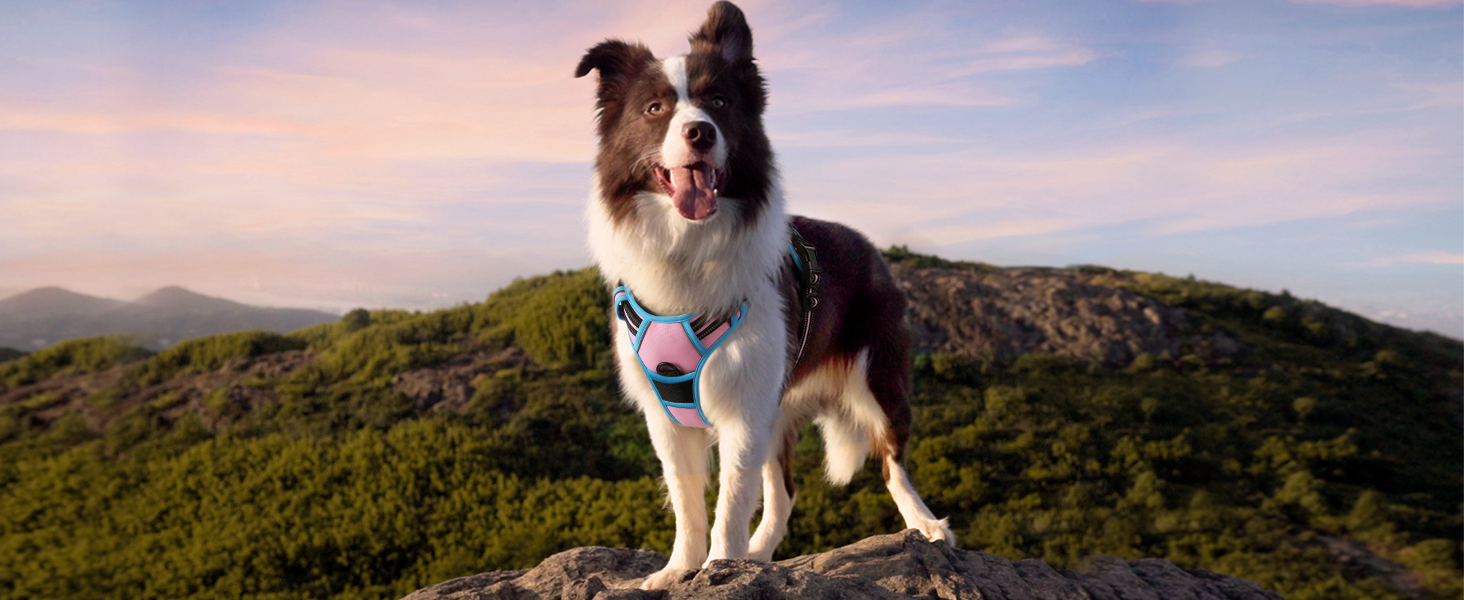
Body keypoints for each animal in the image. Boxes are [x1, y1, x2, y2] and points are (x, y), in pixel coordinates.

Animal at [576, 1, 954, 591]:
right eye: (655, 108)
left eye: (719, 102)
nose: (700, 133)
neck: (689, 249)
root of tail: (872, 248)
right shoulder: (667, 417)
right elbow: (687, 501)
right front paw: (680, 569)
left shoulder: (744, 409)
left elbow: (730, 501)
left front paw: (719, 567)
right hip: (779, 411)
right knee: (784, 494)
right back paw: (758, 555)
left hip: (878, 380)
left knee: (893, 461)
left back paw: (927, 525)